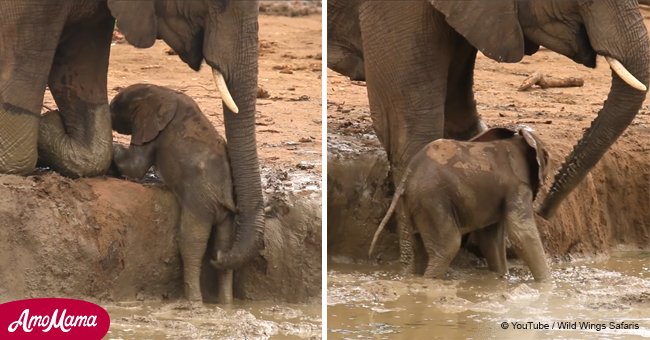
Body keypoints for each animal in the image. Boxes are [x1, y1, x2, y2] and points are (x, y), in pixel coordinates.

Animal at [110, 83, 234, 304]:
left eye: (117, 104)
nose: (108, 111)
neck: (160, 92)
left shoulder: (155, 131)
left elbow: (135, 166)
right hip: (224, 213)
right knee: (223, 244)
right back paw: (226, 304)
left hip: (199, 199)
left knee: (191, 240)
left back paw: (194, 302)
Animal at [372, 127, 548, 282]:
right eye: (546, 157)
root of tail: (407, 176)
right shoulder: (517, 187)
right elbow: (522, 235)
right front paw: (546, 285)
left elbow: (491, 239)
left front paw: (501, 278)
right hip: (433, 201)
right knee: (448, 245)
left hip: (416, 204)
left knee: (419, 249)